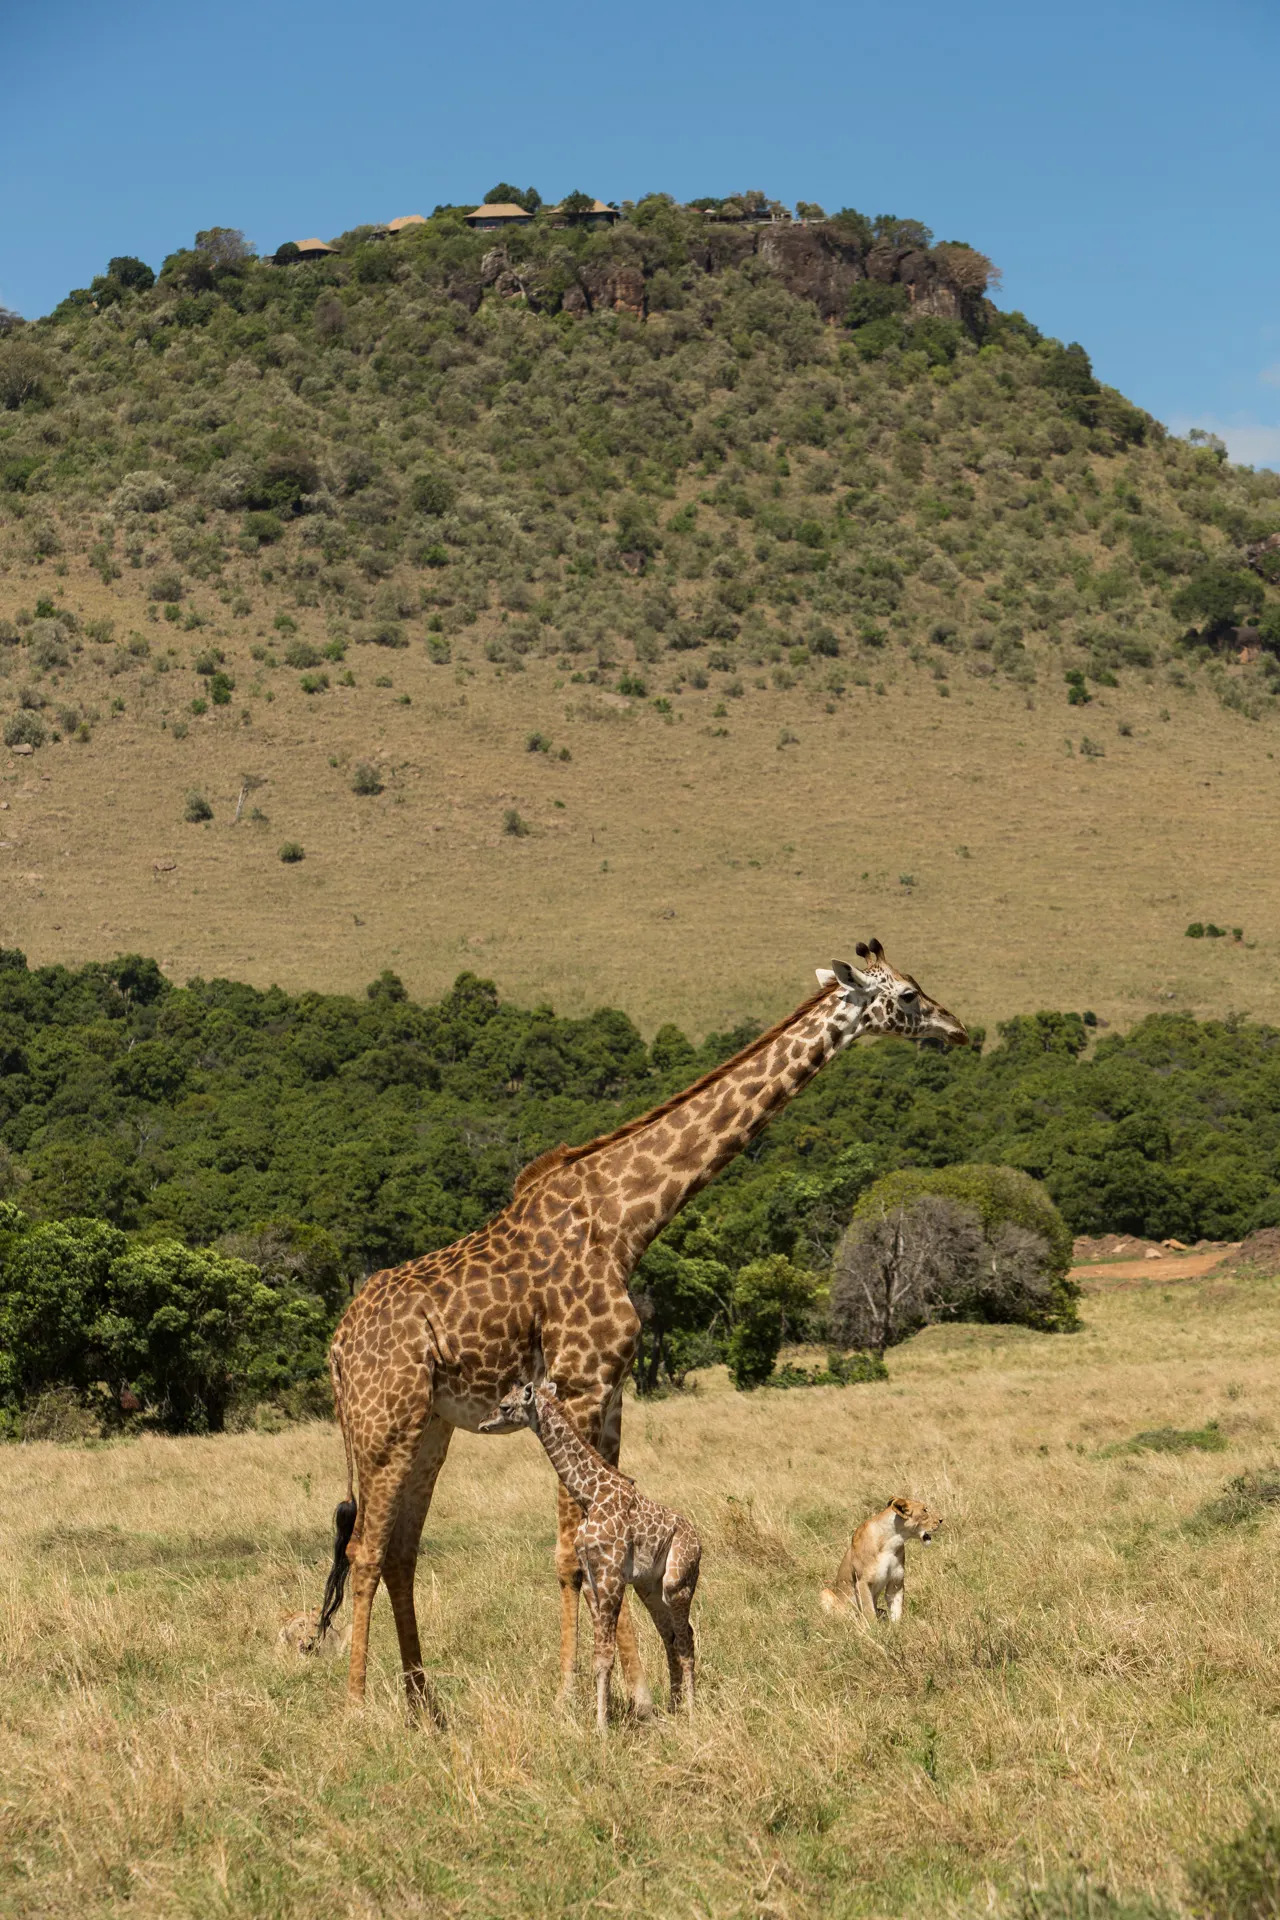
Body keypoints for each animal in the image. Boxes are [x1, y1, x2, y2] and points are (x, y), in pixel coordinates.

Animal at [477, 1382, 702, 1728]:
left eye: (504, 1406)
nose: (482, 1424)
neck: (590, 1496)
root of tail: (701, 1543)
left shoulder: (610, 1577)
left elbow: (606, 1655)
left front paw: (602, 1727)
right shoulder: (591, 1580)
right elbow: (599, 1656)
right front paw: (602, 1719)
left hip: (678, 1583)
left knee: (686, 1638)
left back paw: (689, 1711)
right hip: (649, 1587)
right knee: (672, 1636)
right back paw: (674, 1707)